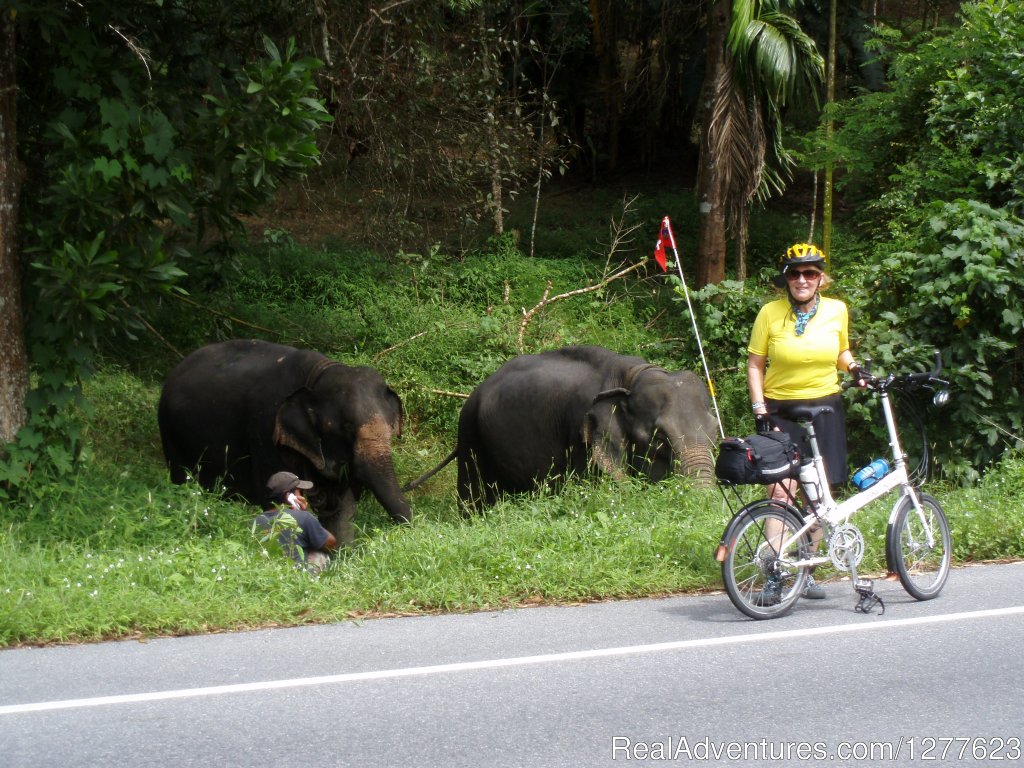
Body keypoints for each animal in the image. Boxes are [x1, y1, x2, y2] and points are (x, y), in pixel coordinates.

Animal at [157, 339, 409, 544]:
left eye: (391, 427)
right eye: (346, 428)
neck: (318, 373)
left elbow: (342, 510)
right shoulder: (265, 428)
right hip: (169, 432)